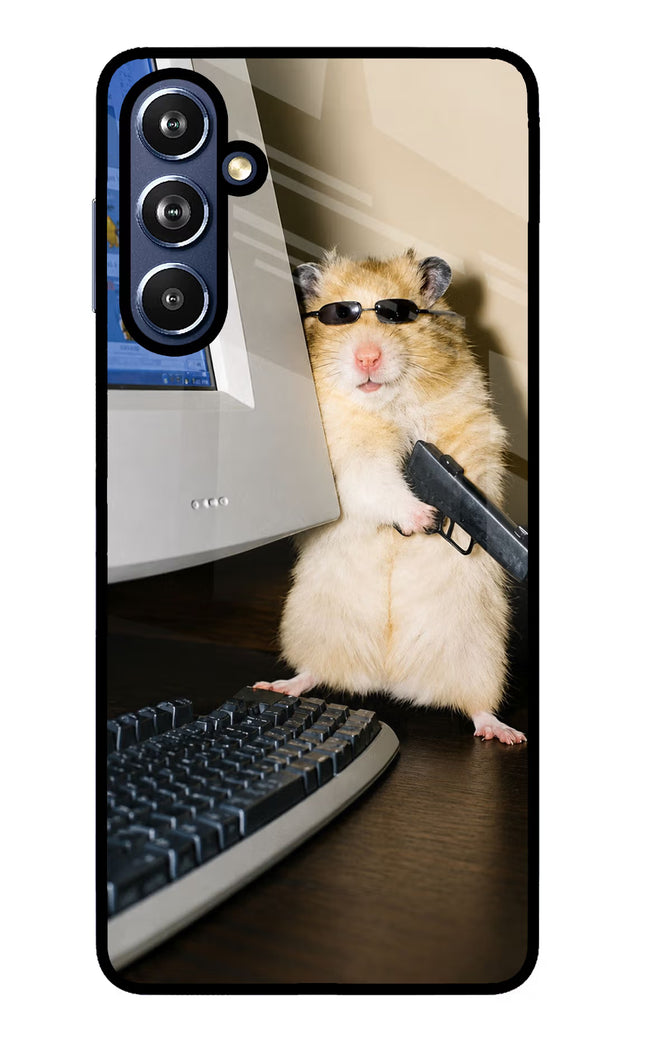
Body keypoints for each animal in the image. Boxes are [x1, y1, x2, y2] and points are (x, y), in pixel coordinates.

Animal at [255, 249, 526, 744]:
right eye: (339, 316)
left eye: (396, 314)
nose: (367, 357)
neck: (386, 404)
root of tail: (389, 679)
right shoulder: (348, 459)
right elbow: (378, 483)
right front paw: (423, 518)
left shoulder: (471, 429)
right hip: (311, 627)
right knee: (314, 672)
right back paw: (279, 685)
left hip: (480, 655)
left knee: (477, 706)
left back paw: (505, 733)